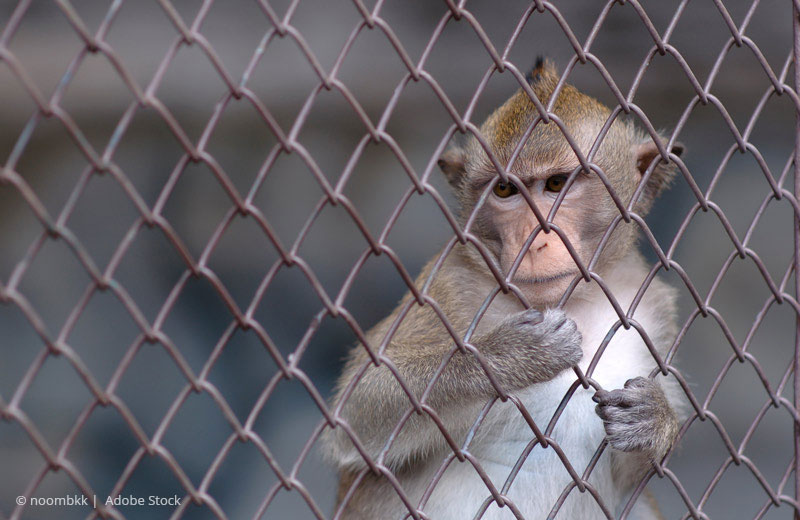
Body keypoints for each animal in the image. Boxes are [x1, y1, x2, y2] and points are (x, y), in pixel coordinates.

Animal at [321, 58, 685, 520]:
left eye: (556, 184)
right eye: (505, 189)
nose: (535, 238)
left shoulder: (651, 306)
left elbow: (630, 476)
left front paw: (653, 419)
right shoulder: (449, 282)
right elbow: (358, 407)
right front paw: (511, 354)